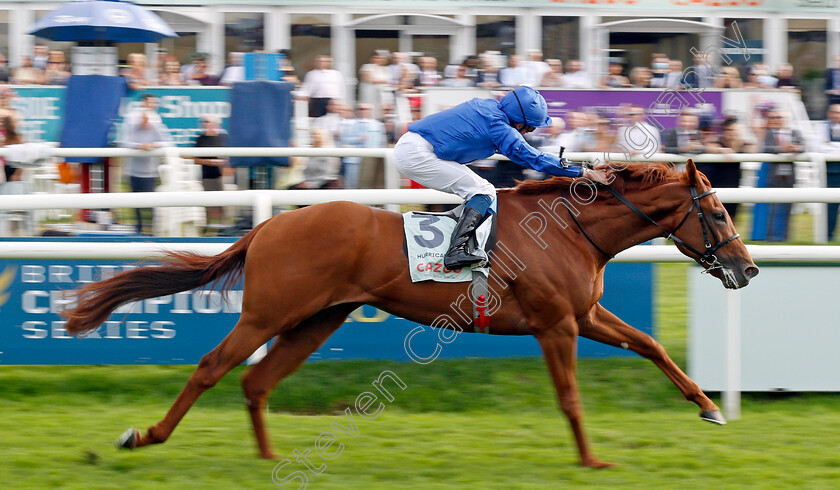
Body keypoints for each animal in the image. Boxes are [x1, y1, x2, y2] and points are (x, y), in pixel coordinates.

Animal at [64, 162, 760, 468]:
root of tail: (268, 227)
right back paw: (145, 436)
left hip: (319, 319)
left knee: (257, 380)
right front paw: (591, 461)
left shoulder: (584, 316)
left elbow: (650, 345)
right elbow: (570, 396)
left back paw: (266, 458)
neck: (570, 228)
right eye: (717, 212)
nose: (748, 268)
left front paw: (709, 407)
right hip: (268, 314)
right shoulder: (556, 326)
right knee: (213, 366)